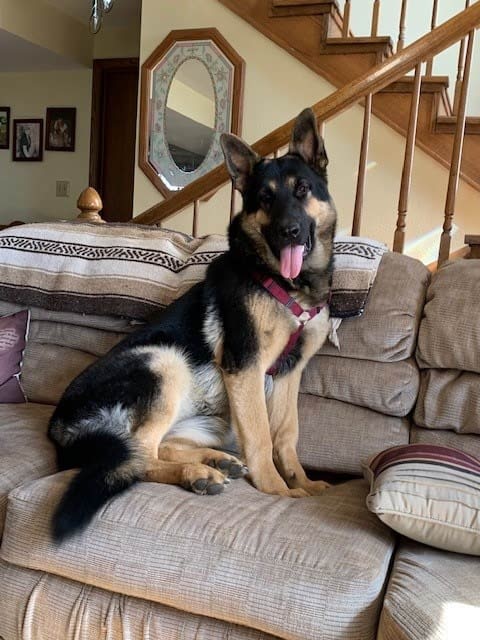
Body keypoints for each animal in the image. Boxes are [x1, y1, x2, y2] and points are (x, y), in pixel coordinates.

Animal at [48, 108, 337, 543]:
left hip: (209, 418)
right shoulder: (246, 368)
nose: (289, 232)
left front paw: (301, 481)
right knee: (139, 454)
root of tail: (58, 427)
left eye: (302, 189)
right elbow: (261, 437)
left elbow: (287, 435)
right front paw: (278, 490)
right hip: (165, 362)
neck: (286, 286)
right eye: (265, 199)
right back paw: (195, 472)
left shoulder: (289, 374)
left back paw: (216, 461)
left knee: (157, 446)